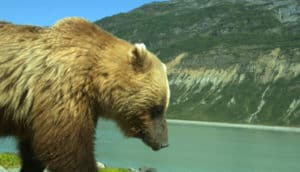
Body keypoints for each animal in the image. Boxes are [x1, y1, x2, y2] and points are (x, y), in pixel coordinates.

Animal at [0, 17, 169, 172]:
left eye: (164, 106)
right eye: (158, 108)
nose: (165, 143)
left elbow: (33, 151)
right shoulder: (64, 91)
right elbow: (68, 148)